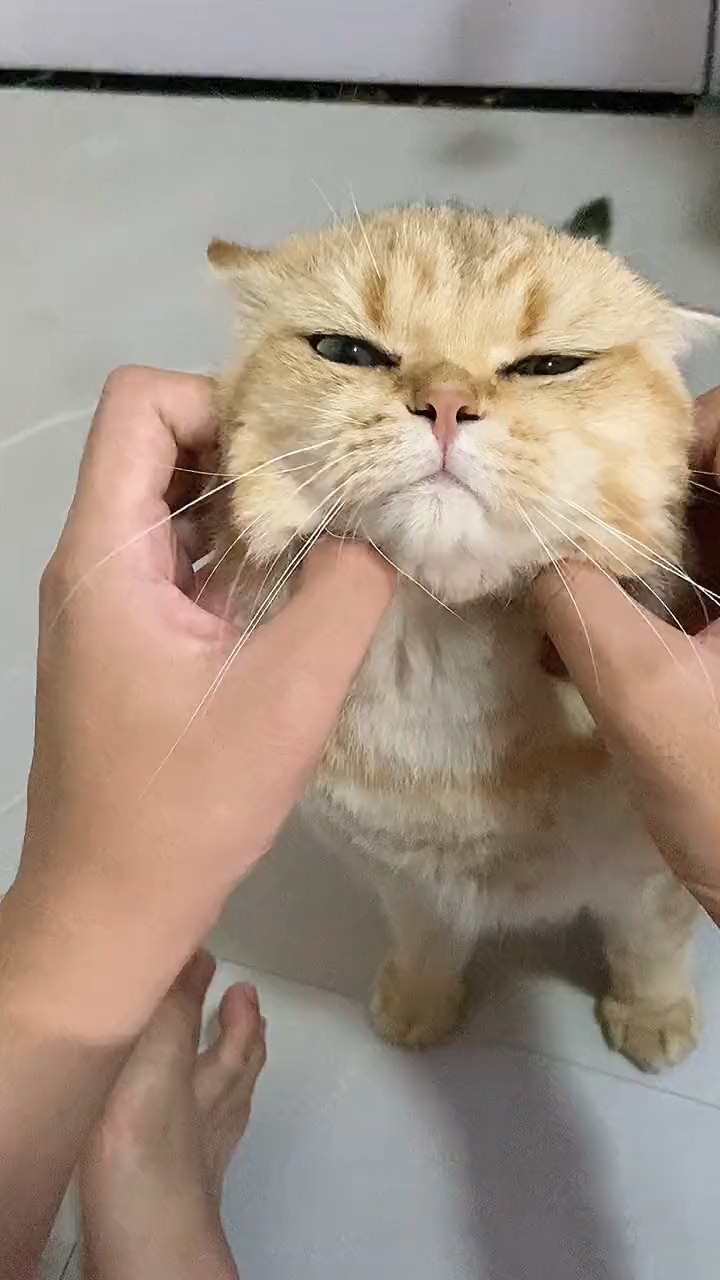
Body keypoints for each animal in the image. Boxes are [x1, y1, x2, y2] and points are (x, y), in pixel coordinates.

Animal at [207, 198, 708, 1072]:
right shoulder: (400, 876)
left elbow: (651, 946)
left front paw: (652, 1018)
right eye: (347, 351)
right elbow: (425, 937)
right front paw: (419, 1002)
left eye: (550, 366)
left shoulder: (652, 878)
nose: (444, 403)